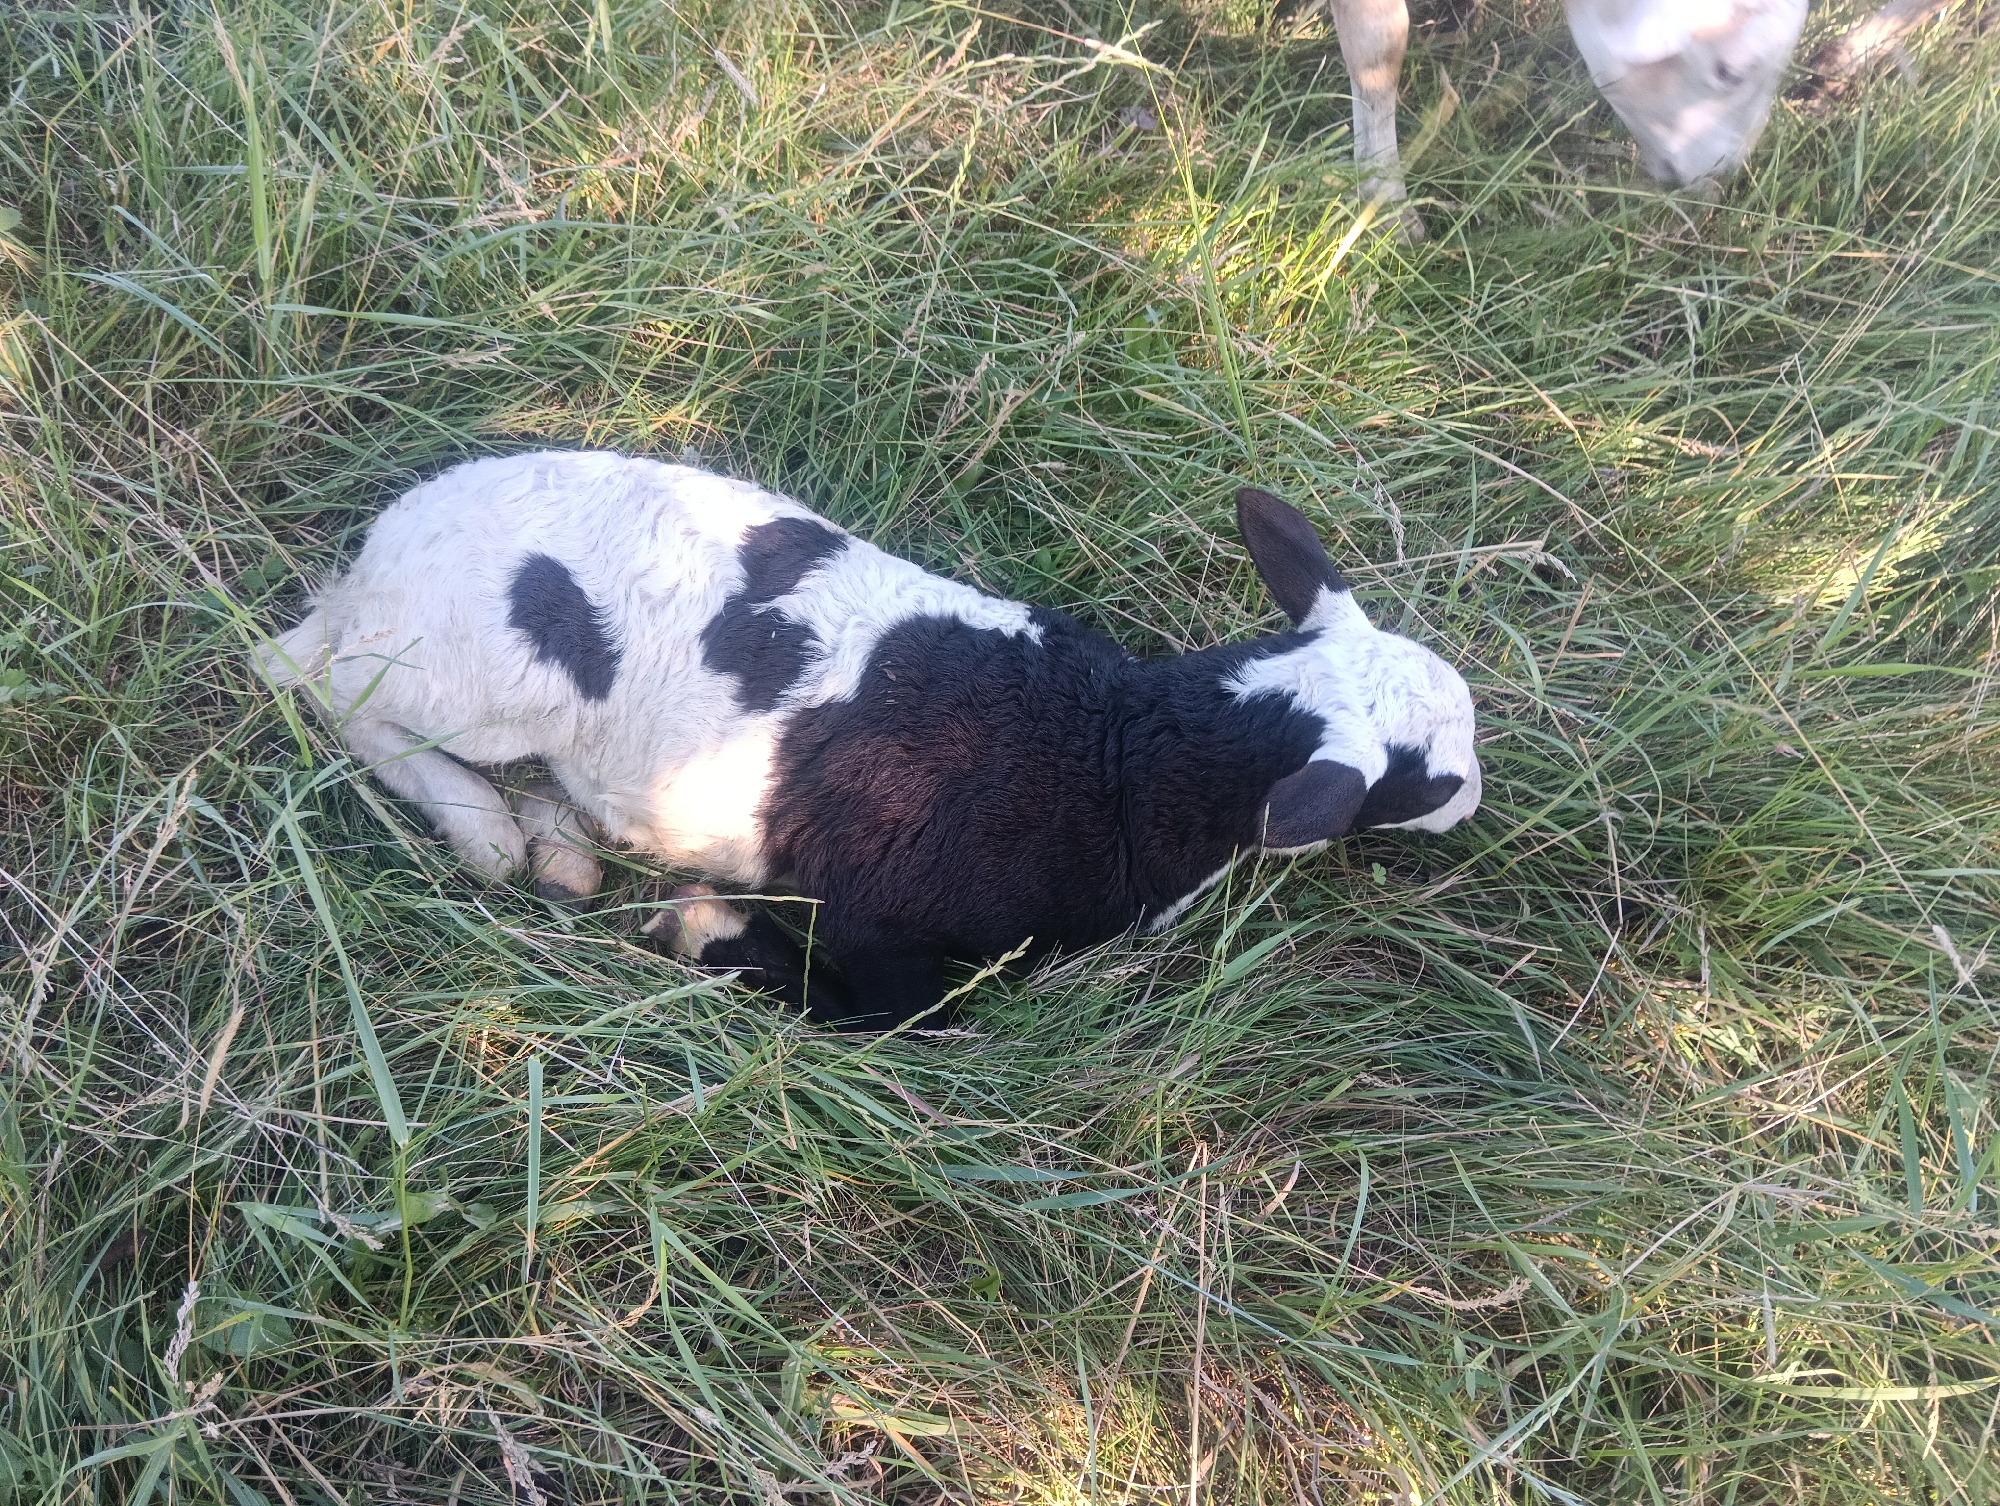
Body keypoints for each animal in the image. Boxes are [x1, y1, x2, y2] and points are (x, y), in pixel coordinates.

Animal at [258, 452, 1481, 1029]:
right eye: (1426, 782)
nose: (1475, 798)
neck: (1118, 757)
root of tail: (379, 557)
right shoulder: (878, 923)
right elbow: (901, 1022)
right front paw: (708, 930)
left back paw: (558, 844)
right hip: (467, 678)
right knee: (311, 680)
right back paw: (485, 828)